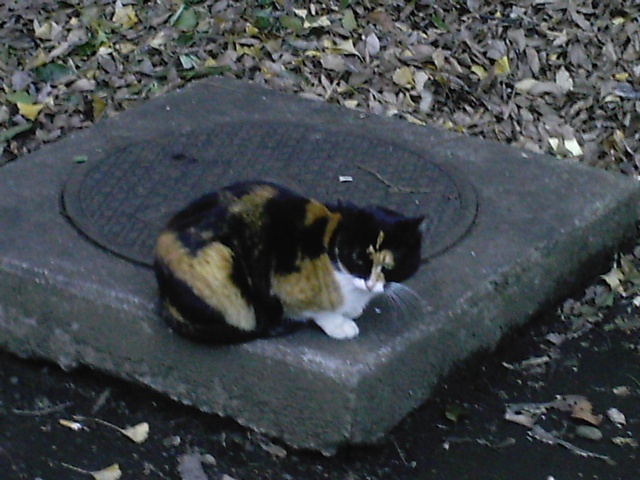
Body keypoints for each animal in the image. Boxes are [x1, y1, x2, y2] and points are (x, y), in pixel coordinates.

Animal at [154, 181, 424, 343]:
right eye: (358, 257)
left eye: (389, 266)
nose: (370, 284)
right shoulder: (284, 282)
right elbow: (315, 309)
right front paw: (339, 324)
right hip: (220, 265)